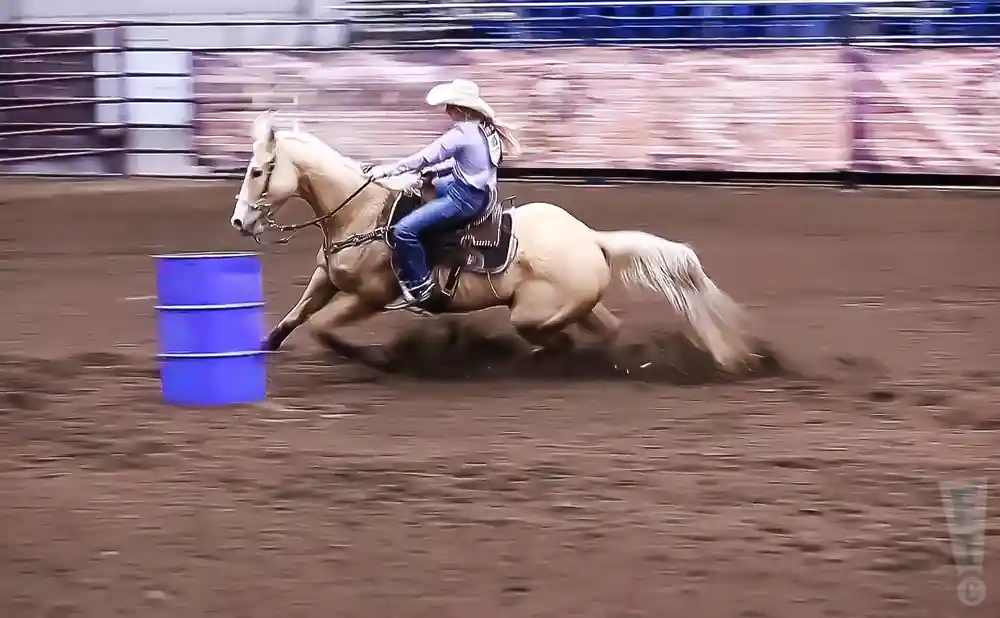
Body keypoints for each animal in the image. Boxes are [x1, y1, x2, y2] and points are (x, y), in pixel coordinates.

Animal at [230, 111, 751, 371]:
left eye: (257, 171)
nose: (239, 221)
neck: (360, 213)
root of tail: (593, 240)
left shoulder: (371, 297)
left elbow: (324, 328)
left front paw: (379, 357)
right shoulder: (326, 279)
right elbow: (294, 318)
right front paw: (259, 347)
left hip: (533, 313)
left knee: (557, 340)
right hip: (577, 305)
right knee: (605, 331)